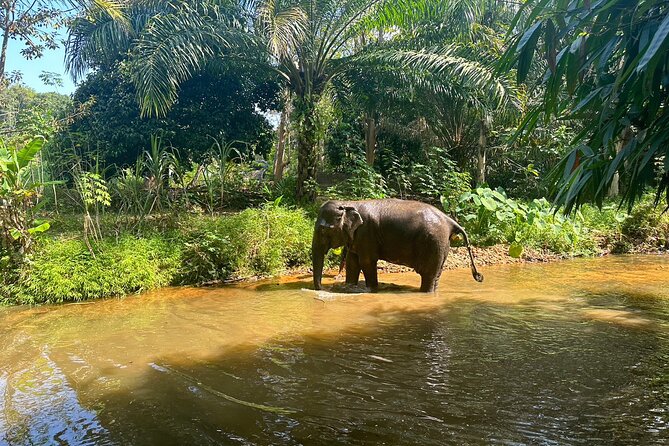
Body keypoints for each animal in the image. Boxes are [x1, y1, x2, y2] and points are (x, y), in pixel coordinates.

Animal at [312, 199, 483, 292]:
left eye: (323, 229)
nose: (324, 288)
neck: (349, 203)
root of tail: (450, 221)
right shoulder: (357, 237)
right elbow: (352, 263)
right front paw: (349, 287)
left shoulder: (366, 233)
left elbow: (366, 262)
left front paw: (371, 289)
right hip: (442, 246)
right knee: (436, 276)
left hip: (434, 243)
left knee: (428, 275)